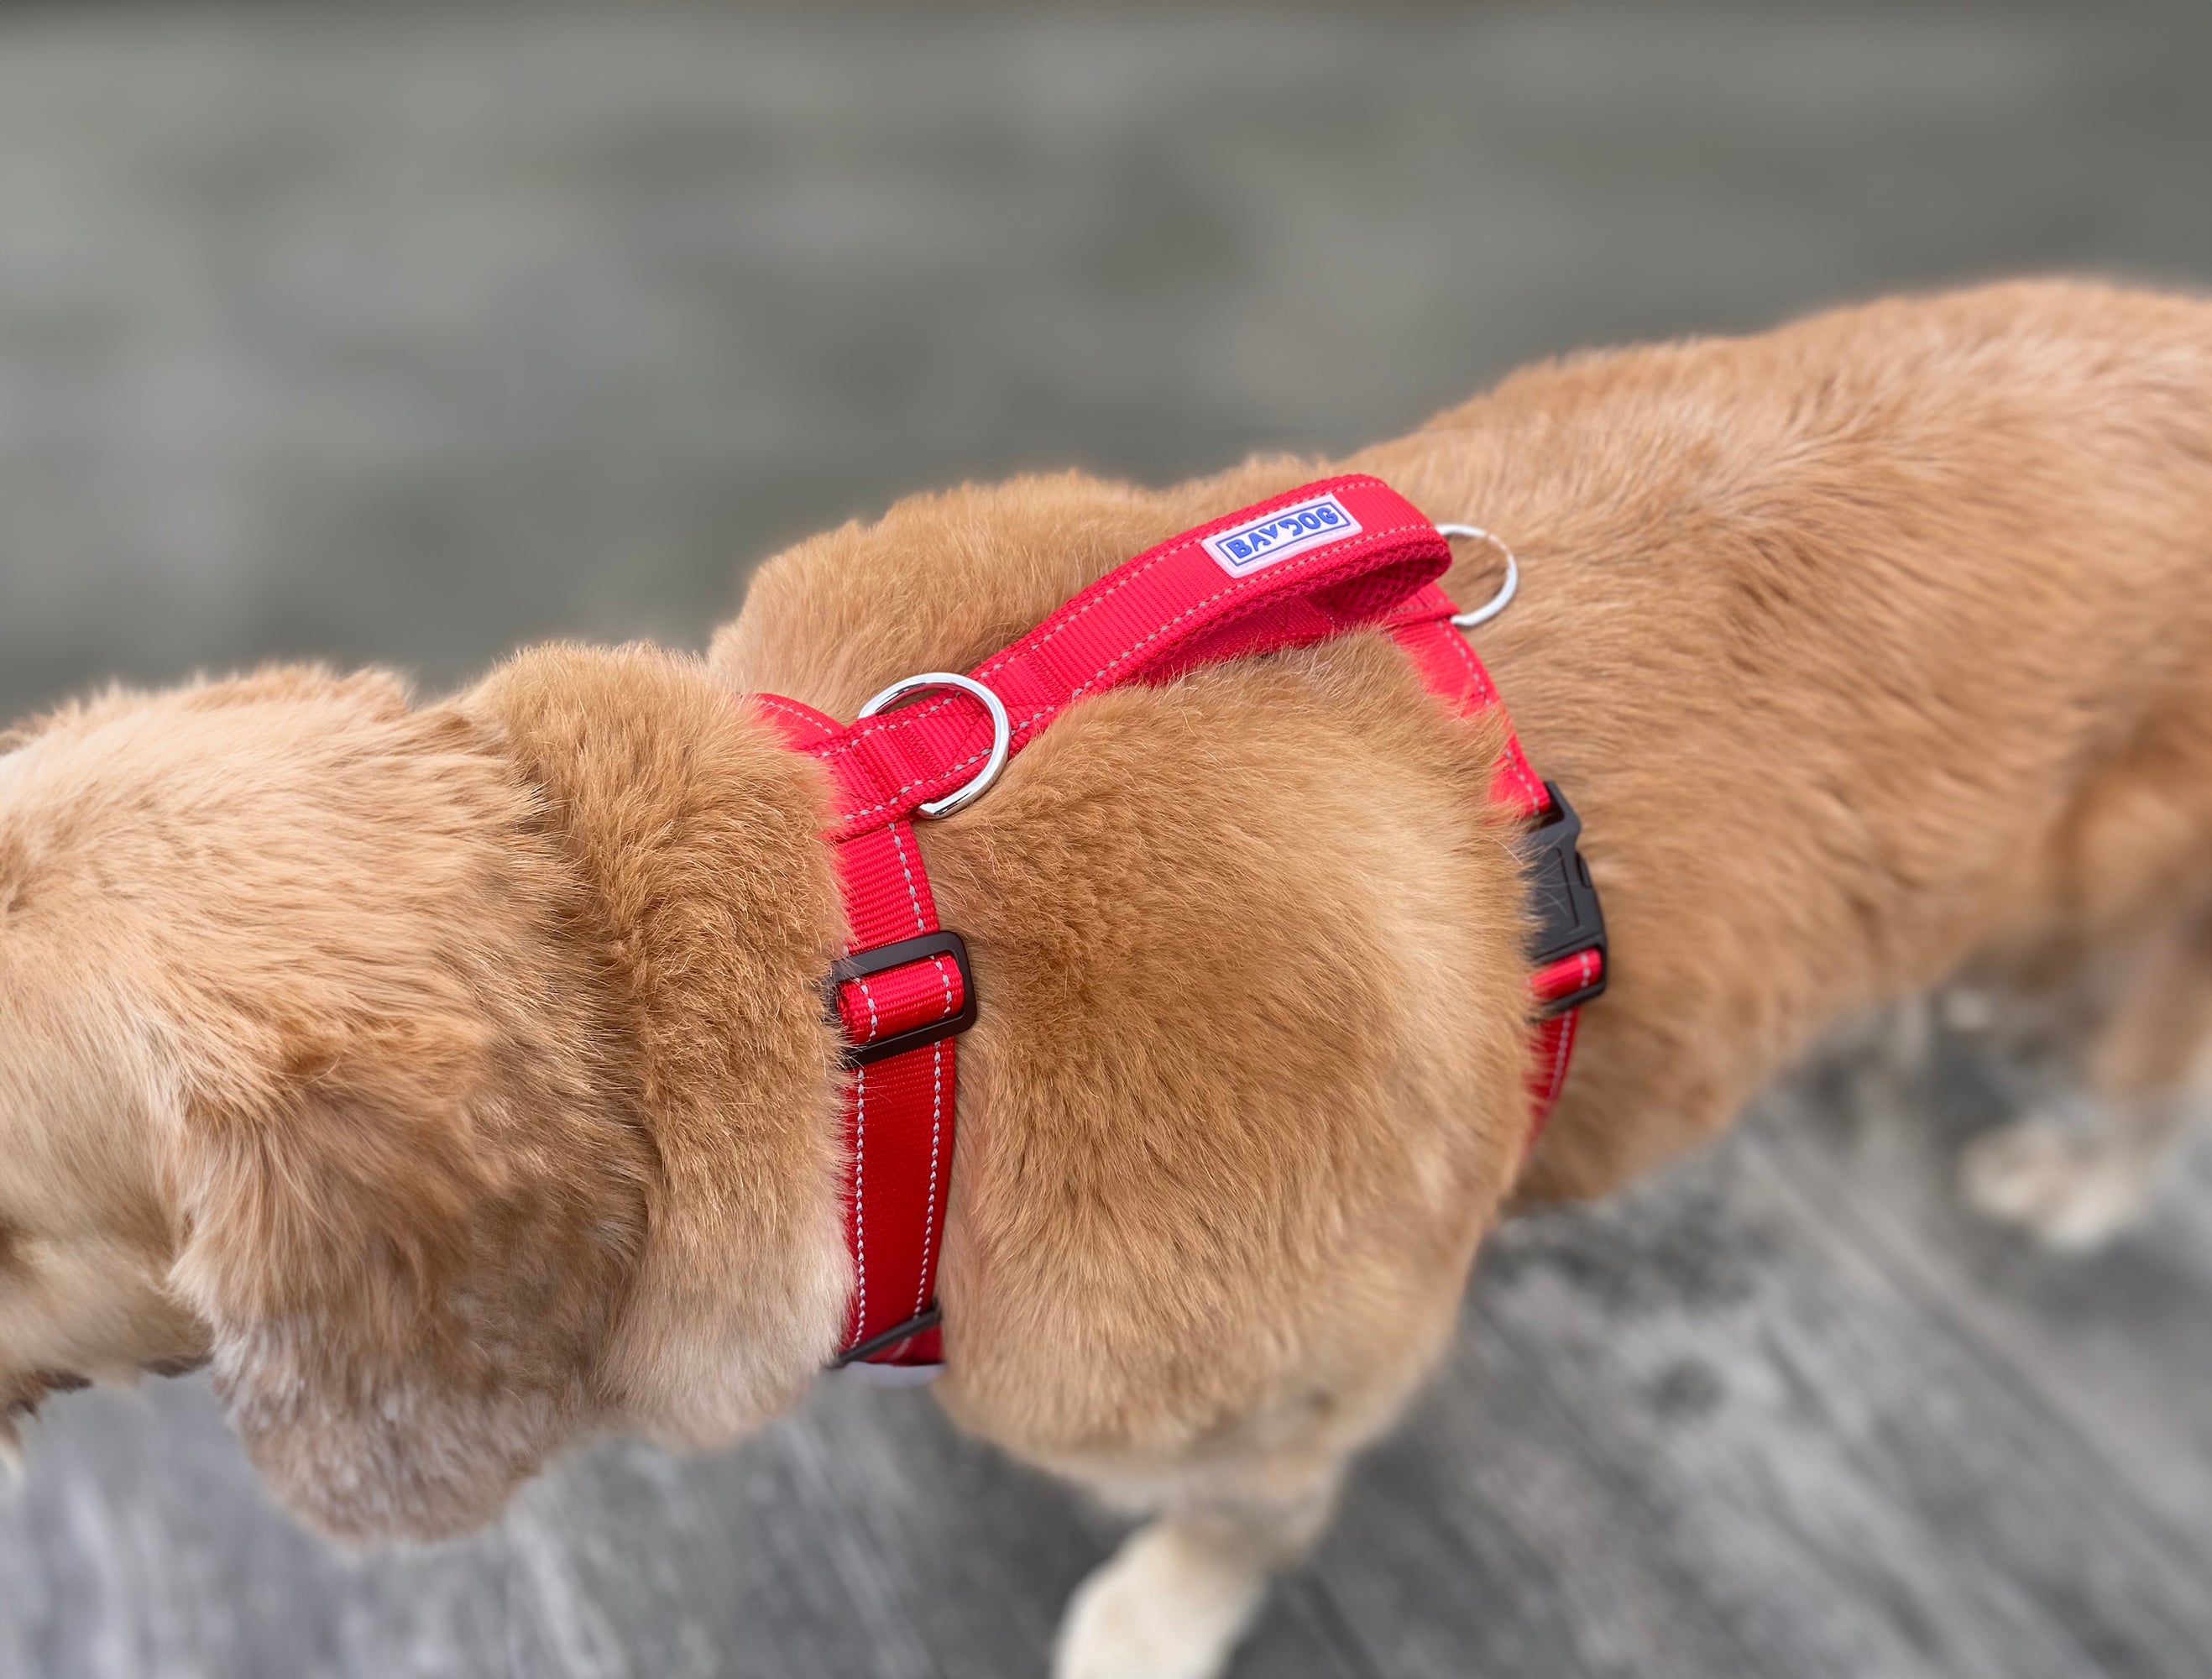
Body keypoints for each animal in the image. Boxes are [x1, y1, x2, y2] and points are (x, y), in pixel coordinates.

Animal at [4, 281, 2212, 1672]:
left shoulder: (1297, 1392)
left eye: (15, 1223)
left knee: (2148, 1061)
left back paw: (2072, 1159)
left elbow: (1235, 1521)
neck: (882, 977)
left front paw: (1155, 1609)